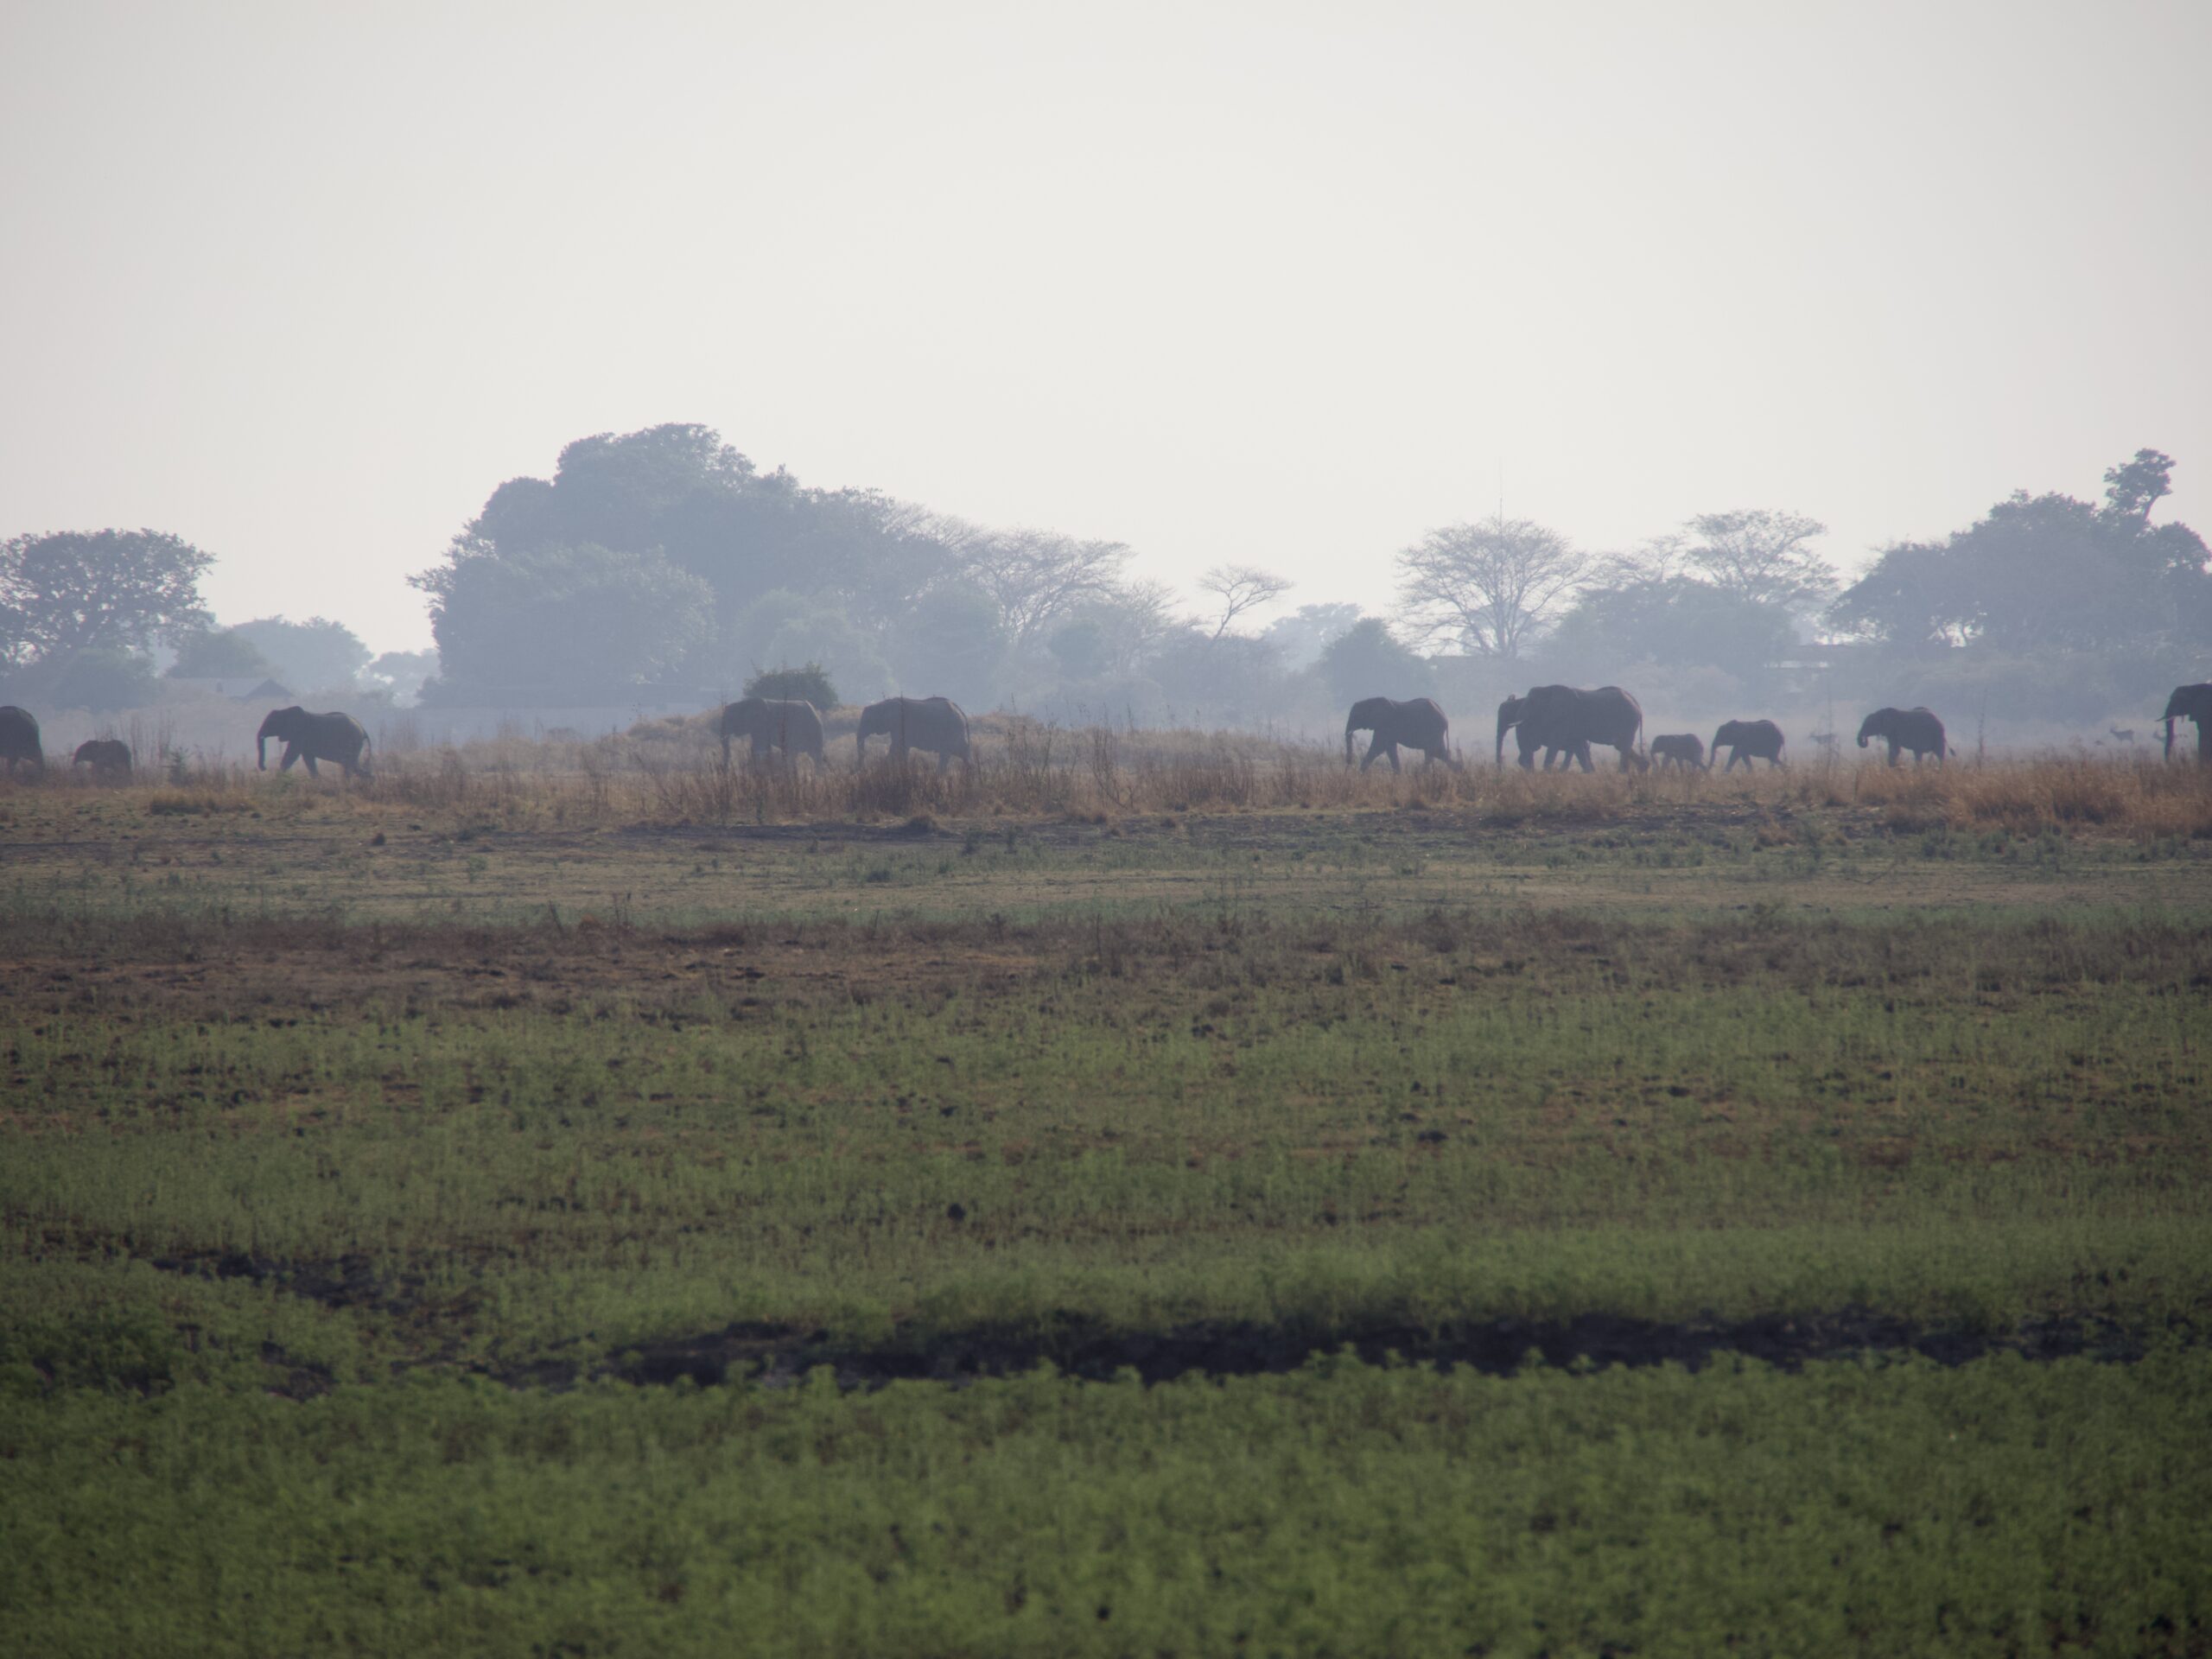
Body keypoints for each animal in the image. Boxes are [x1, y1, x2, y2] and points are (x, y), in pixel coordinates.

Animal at [257, 707, 373, 779]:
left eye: (270, 723)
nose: (264, 768)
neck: (285, 710)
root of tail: (362, 729)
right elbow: (308, 759)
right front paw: (318, 780)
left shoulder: (300, 733)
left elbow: (292, 754)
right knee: (351, 765)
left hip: (353, 742)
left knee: (349, 765)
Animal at [856, 695, 971, 772]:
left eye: (868, 721)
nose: (863, 770)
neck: (882, 704)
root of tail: (962, 713)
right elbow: (901, 748)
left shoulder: (899, 724)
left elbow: (897, 746)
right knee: (961, 753)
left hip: (953, 731)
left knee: (949, 752)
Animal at [1344, 696, 1459, 772]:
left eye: (1355, 716)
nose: (1350, 764)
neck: (1369, 701)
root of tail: (1445, 717)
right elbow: (1389, 749)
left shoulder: (1385, 725)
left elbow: (1378, 748)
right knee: (1438, 754)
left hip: (1434, 731)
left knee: (1435, 752)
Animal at [1496, 685, 1646, 772]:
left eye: (1532, 702)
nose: (1501, 770)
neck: (1547, 690)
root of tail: (1638, 705)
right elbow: (1577, 747)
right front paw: (1589, 774)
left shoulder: (1564, 718)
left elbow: (1555, 744)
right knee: (1620, 746)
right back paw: (1644, 768)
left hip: (1628, 720)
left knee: (1623, 746)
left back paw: (1623, 773)